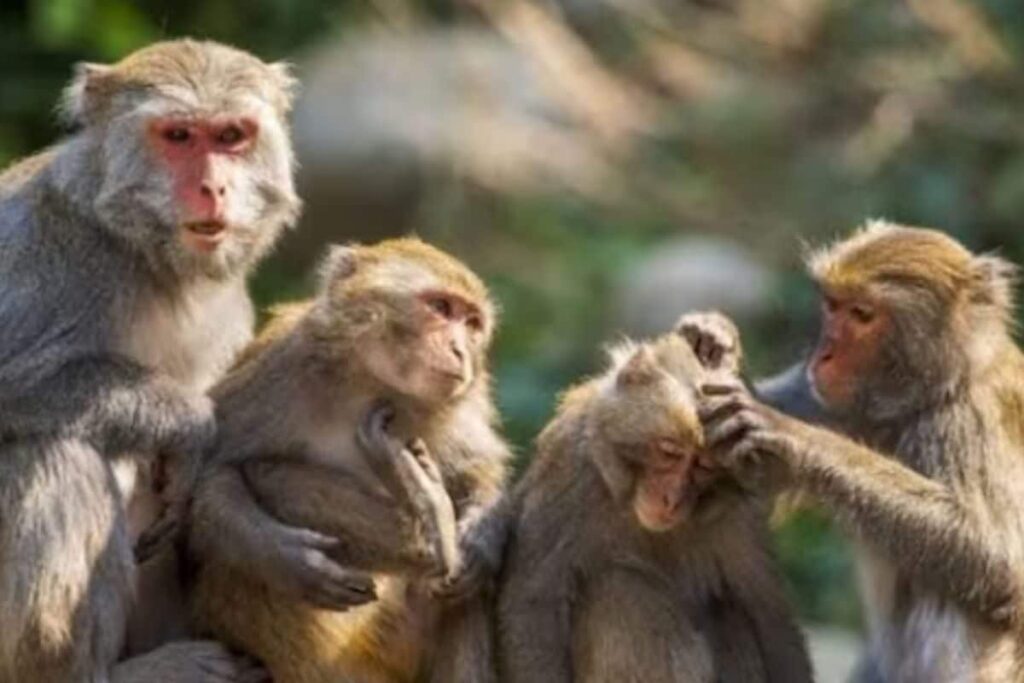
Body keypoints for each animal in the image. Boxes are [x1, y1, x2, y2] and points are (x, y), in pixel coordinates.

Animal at [0, 39, 322, 682]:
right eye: (178, 135)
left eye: (230, 136)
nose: (212, 188)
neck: (145, 255)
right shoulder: (39, 255)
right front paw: (189, 423)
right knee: (58, 450)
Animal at [188, 237, 513, 683]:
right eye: (441, 307)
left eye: (473, 323)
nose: (461, 350)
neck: (372, 389)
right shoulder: (280, 369)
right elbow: (211, 476)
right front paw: (283, 556)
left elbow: (476, 470)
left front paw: (481, 537)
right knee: (277, 482)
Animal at [497, 323, 813, 683]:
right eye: (669, 450)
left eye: (704, 466)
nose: (671, 498)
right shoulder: (568, 468)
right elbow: (535, 603)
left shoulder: (738, 513)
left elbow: (768, 615)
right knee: (621, 589)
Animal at [697, 221, 1024, 682]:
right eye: (832, 305)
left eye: (863, 314)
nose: (823, 355)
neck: (930, 394)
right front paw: (709, 339)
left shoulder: (968, 422)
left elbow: (996, 558)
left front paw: (793, 436)